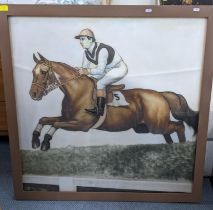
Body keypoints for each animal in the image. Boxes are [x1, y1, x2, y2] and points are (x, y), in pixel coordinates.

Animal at [29, 52, 199, 151]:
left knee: (179, 126)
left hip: (156, 125)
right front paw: (35, 139)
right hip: (145, 127)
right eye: (32, 72)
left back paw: (182, 149)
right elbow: (45, 119)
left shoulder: (81, 125)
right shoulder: (68, 118)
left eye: (43, 72)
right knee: (170, 132)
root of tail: (161, 94)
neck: (77, 92)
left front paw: (45, 142)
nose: (33, 94)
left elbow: (55, 124)